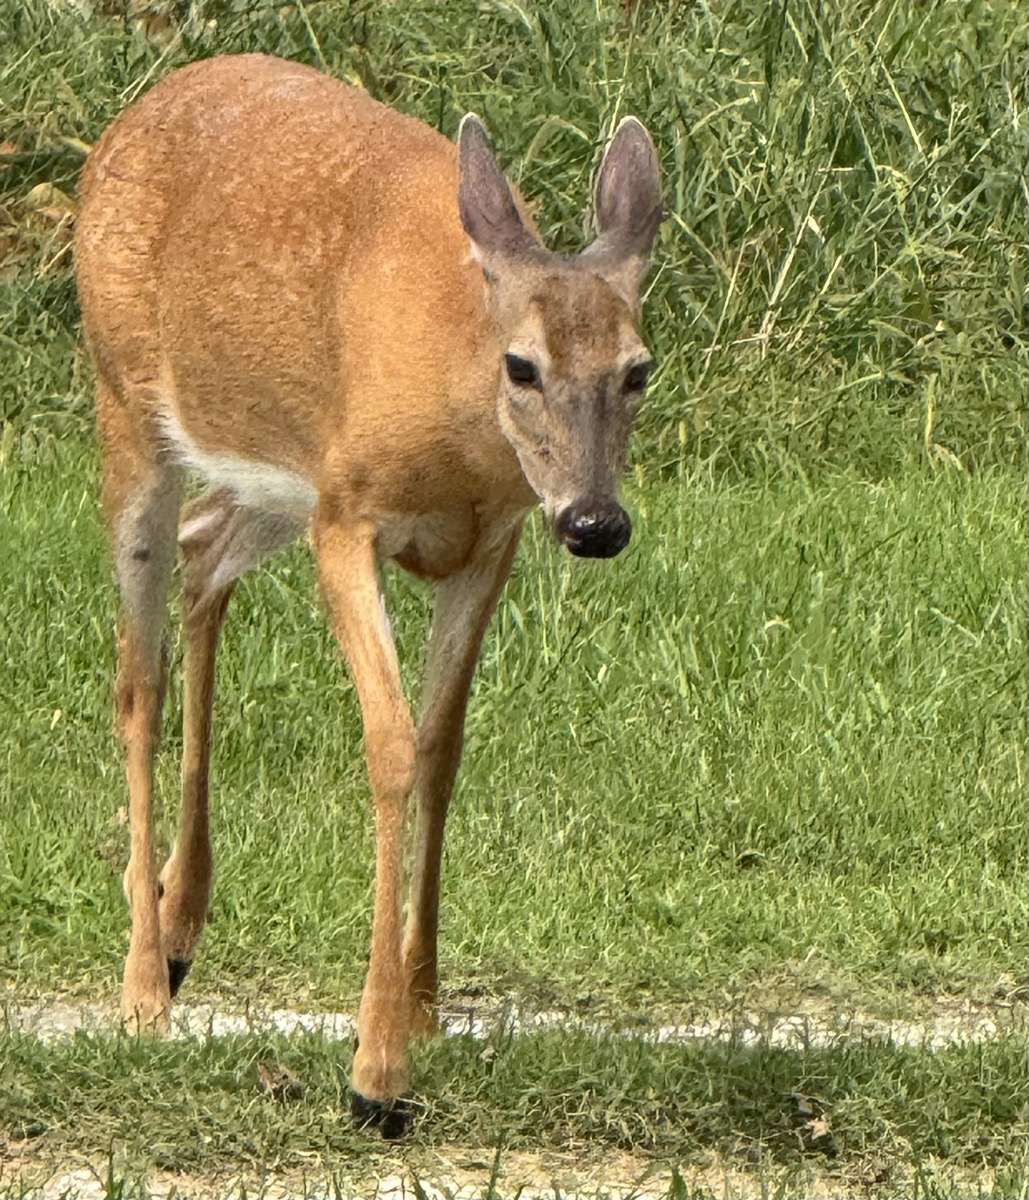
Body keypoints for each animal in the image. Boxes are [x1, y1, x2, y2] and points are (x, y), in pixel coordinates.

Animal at [75, 53, 661, 1135]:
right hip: (128, 403)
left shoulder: (490, 541)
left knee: (205, 553)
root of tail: (129, 120)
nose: (596, 521)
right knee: (137, 679)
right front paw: (377, 1071)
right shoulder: (349, 521)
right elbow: (389, 748)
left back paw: (181, 926)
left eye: (638, 369)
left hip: (275, 483)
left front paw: (424, 1007)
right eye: (522, 365)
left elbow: (441, 746)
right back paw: (141, 984)